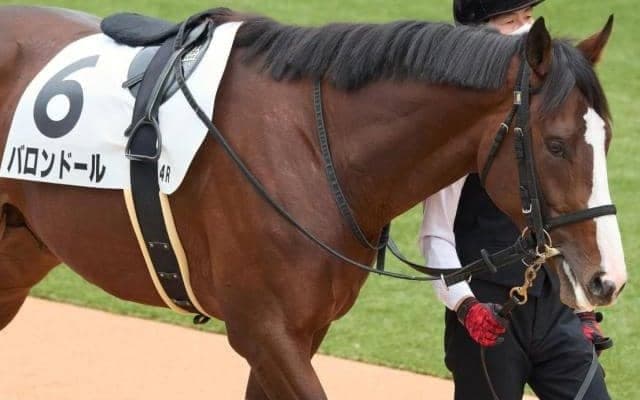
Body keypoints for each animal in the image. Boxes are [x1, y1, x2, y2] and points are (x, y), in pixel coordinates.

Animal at [0, 6, 627, 399]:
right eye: (556, 144)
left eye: (608, 139)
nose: (608, 280)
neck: (314, 148)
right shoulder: (263, 332)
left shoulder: (300, 332)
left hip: (21, 253)